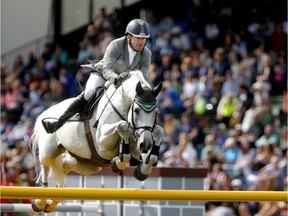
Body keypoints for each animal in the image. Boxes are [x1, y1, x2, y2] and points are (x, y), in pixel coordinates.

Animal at [29, 70, 164, 212]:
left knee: (63, 167)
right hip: (49, 151)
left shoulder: (139, 142)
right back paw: (40, 202)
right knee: (45, 166)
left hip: (85, 165)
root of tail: (45, 112)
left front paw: (141, 170)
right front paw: (118, 162)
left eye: (156, 112)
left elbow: (158, 133)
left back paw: (53, 202)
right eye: (137, 111)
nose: (146, 144)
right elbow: (122, 126)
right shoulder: (102, 144)